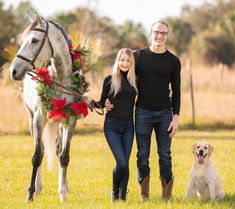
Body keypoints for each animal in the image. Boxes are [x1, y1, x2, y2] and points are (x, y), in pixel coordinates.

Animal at [8, 12, 81, 202]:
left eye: (34, 40)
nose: (13, 71)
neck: (61, 80)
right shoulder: (39, 119)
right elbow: (37, 156)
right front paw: (30, 194)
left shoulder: (71, 121)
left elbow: (64, 157)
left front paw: (63, 195)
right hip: (32, 120)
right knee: (40, 149)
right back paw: (38, 187)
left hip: (61, 123)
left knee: (58, 149)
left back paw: (64, 186)